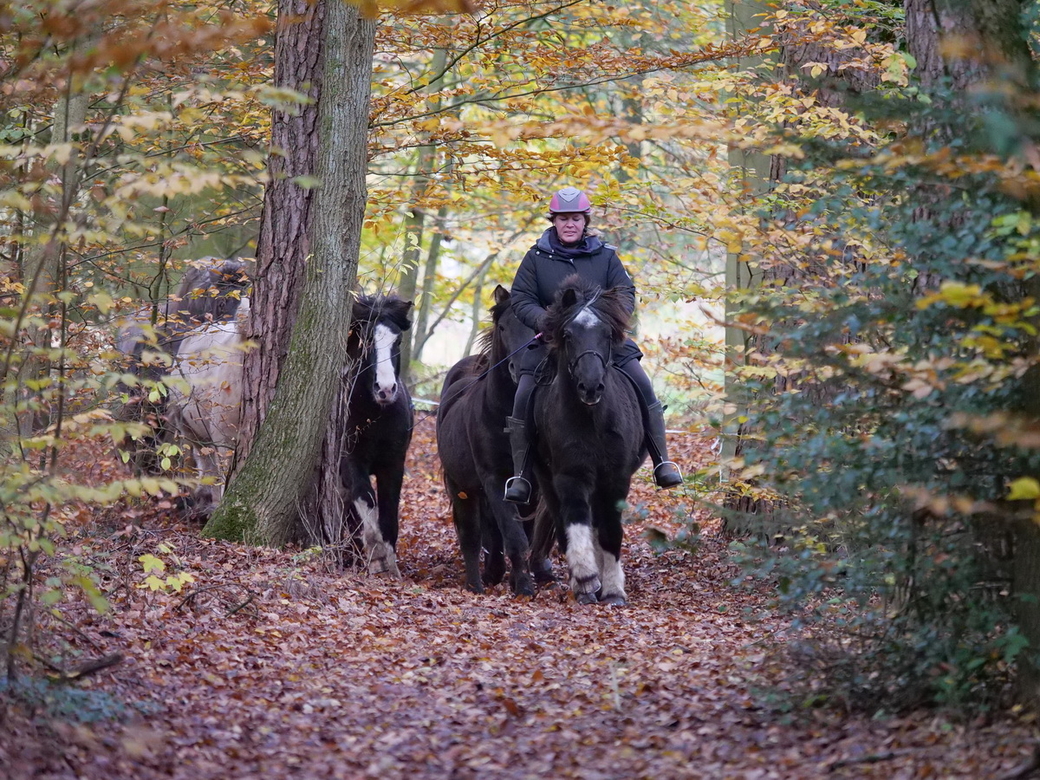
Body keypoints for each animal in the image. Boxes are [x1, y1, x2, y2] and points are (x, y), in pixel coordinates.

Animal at [336, 293, 409, 582]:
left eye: (397, 341)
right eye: (366, 340)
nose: (386, 389)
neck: (377, 417)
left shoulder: (394, 466)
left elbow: (389, 512)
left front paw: (391, 565)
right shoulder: (352, 462)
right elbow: (366, 500)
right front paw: (377, 558)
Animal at [532, 278, 644, 607]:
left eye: (606, 334)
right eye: (568, 335)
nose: (591, 387)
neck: (592, 419)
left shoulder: (616, 479)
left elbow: (610, 531)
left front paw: (614, 590)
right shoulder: (570, 476)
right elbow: (575, 524)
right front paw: (585, 580)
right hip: (546, 478)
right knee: (563, 523)